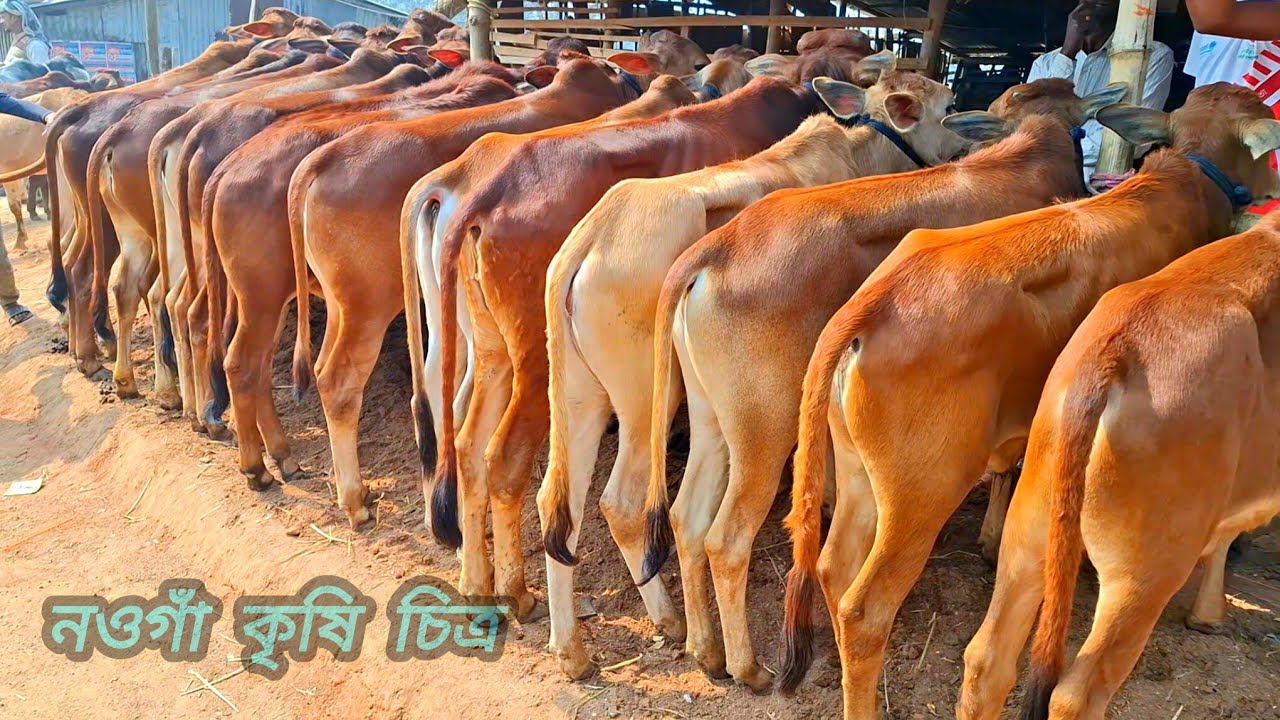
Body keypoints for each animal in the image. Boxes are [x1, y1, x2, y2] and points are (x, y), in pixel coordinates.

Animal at [200, 60, 521, 498]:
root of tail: (229, 166)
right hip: (316, 301)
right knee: (270, 369)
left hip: (273, 298)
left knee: (247, 360)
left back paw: (279, 457)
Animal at [279, 54, 694, 528]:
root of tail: (318, 161)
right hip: (369, 306)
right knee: (340, 379)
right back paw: (354, 499)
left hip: (371, 307)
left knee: (423, 389)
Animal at [408, 73, 814, 629]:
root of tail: (487, 185)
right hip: (542, 368)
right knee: (511, 463)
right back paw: (524, 594)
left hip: (489, 351)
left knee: (460, 432)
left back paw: (476, 582)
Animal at [535, 54, 966, 681]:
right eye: (946, 106)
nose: (961, 148)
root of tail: (594, 231)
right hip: (644, 400)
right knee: (624, 504)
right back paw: (674, 624)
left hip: (581, 394)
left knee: (558, 504)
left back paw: (572, 650)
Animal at [629, 78, 1124, 694]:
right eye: (945, 108)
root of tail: (717, 245)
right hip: (764, 427)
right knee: (726, 540)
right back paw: (748, 667)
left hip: (712, 419)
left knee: (686, 519)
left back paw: (707, 651)